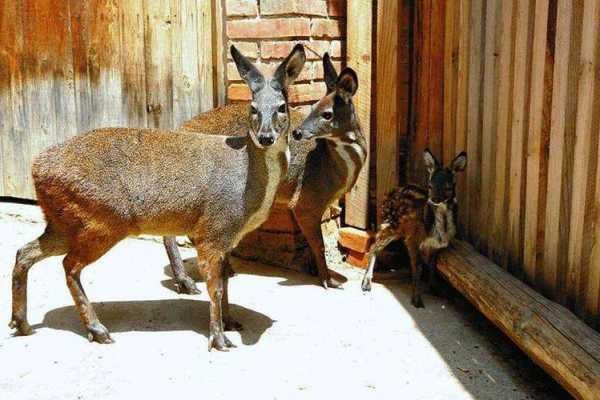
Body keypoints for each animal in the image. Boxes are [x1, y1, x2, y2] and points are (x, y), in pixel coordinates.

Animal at [10, 43, 304, 352]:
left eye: (282, 107)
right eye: (253, 108)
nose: (266, 136)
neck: (247, 185)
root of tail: (37, 169)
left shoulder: (227, 238)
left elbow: (224, 282)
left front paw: (231, 322)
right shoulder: (212, 229)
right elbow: (215, 287)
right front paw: (219, 339)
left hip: (63, 221)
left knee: (26, 252)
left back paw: (22, 323)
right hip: (101, 220)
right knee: (69, 265)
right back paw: (97, 329)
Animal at [166, 54, 368, 290]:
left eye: (327, 114)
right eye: (314, 108)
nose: (297, 133)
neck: (333, 167)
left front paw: (315, 271)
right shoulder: (306, 199)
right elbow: (318, 243)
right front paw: (328, 280)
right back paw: (186, 281)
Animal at [358, 150, 466, 310]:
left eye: (448, 187)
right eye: (430, 185)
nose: (434, 199)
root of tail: (387, 194)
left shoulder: (436, 245)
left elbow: (432, 266)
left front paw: (435, 288)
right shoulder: (413, 237)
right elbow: (418, 267)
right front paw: (417, 300)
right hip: (392, 223)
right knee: (374, 244)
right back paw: (366, 283)